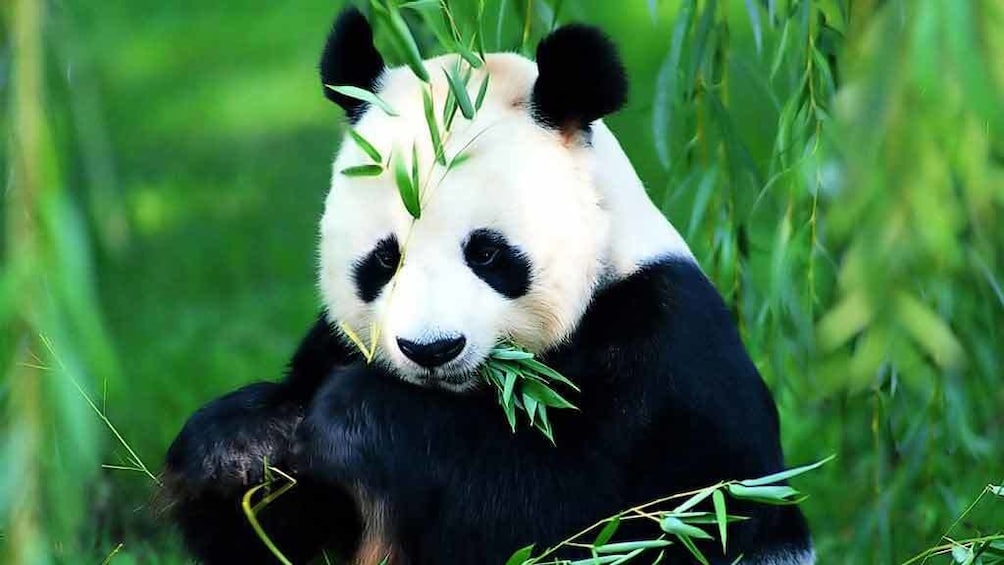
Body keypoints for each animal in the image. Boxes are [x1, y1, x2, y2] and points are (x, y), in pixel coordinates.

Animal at [160, 5, 811, 565]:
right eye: (384, 260)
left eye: (488, 253)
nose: (431, 350)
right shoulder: (332, 343)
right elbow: (287, 530)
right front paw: (241, 446)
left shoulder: (667, 350)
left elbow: (590, 513)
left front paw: (357, 416)